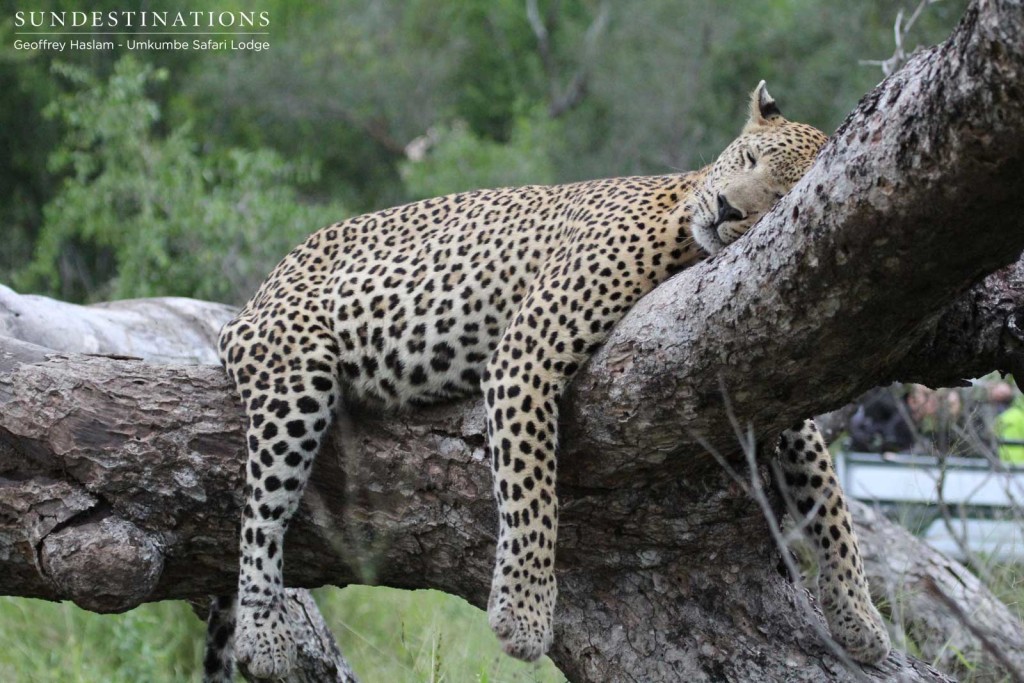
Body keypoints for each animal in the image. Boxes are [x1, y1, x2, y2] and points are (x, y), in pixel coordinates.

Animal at [205, 80, 888, 679]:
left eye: (778, 195)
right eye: (746, 158)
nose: (727, 209)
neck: (681, 217)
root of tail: (255, 296)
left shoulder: (777, 374)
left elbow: (829, 496)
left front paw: (858, 618)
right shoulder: (527, 350)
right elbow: (532, 491)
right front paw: (524, 613)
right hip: (296, 371)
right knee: (260, 516)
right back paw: (263, 632)